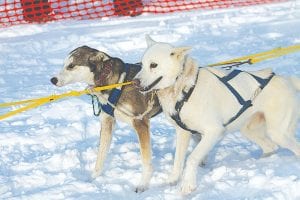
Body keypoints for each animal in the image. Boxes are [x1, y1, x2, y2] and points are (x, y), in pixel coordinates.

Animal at [50, 45, 161, 192]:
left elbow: (146, 160)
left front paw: (143, 184)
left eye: (71, 66)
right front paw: (93, 178)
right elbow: (100, 156)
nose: (53, 79)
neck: (115, 83)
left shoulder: (140, 123)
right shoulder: (107, 121)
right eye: (64, 64)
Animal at [133, 36, 300, 194]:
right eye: (142, 64)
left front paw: (187, 186)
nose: (135, 82)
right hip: (249, 130)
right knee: (270, 147)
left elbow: (192, 158)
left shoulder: (213, 131)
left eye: (153, 65)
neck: (185, 88)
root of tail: (287, 79)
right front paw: (172, 180)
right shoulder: (183, 132)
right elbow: (178, 160)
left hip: (278, 133)